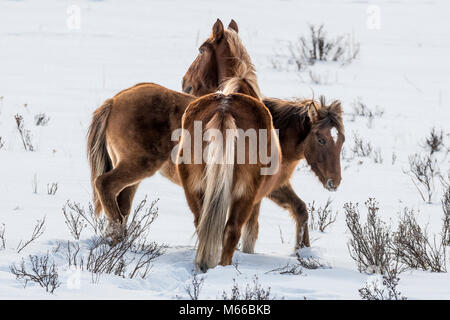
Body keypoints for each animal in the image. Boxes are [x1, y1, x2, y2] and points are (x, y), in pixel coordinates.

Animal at [87, 18, 256, 236]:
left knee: (121, 204)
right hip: (138, 165)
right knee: (104, 186)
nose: (185, 83)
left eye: (201, 50)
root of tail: (113, 101)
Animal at [177, 61, 280, 272]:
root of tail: (225, 109)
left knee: (202, 222)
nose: (186, 84)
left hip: (194, 188)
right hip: (245, 193)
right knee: (232, 230)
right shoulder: (255, 200)